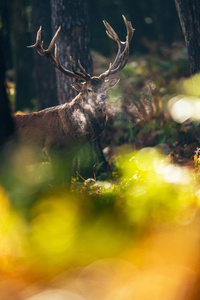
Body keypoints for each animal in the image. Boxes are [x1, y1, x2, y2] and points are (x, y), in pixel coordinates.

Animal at [13, 15, 134, 188]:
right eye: (88, 89)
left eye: (105, 88)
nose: (102, 97)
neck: (73, 133)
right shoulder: (52, 151)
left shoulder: (69, 155)